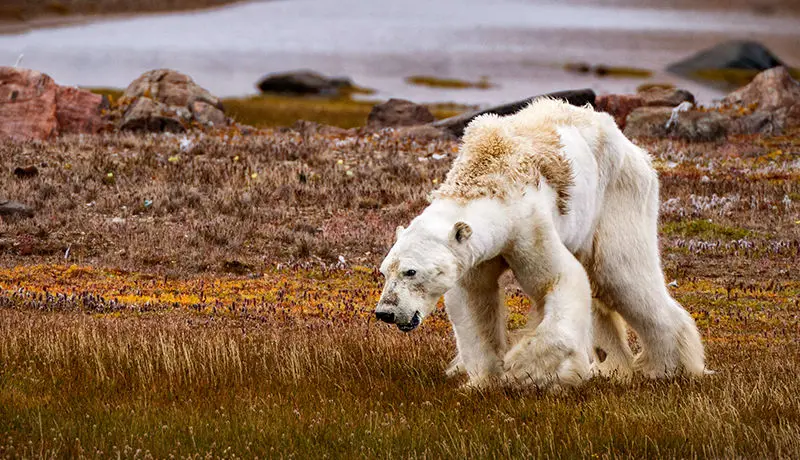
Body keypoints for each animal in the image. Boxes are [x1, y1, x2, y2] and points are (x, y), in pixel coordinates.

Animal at [376, 98, 708, 388]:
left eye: (411, 271)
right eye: (384, 271)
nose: (385, 312)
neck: (488, 175)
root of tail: (634, 148)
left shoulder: (528, 225)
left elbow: (560, 280)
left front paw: (523, 370)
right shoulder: (475, 254)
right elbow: (473, 300)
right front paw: (482, 380)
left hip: (618, 195)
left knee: (621, 274)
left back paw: (667, 367)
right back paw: (611, 367)